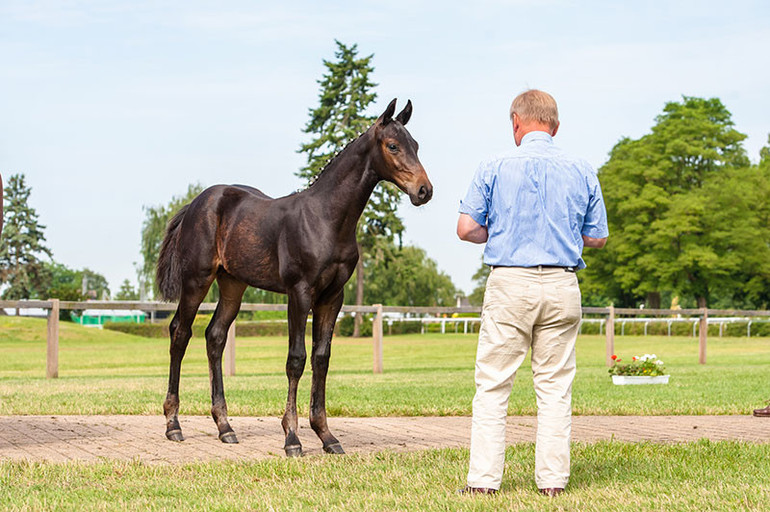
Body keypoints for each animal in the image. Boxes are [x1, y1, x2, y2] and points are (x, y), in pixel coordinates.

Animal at [154, 99, 432, 456]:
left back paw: (225, 426)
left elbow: (322, 358)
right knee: (180, 333)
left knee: (214, 336)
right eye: (393, 145)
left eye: (416, 145)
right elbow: (296, 359)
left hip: (233, 284)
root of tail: (194, 204)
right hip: (196, 279)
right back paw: (173, 424)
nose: (424, 190)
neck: (326, 218)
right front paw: (292, 438)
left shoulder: (333, 296)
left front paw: (327, 435)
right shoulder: (299, 292)